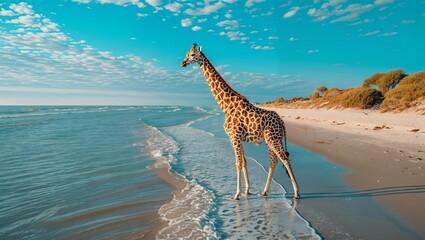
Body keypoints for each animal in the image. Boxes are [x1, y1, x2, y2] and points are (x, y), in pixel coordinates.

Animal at [181, 43, 300, 201]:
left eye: (192, 55)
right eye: (187, 53)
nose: (182, 63)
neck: (225, 106)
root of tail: (282, 122)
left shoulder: (234, 136)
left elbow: (237, 163)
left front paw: (236, 194)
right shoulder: (239, 138)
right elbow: (244, 162)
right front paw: (247, 190)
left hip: (273, 139)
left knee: (285, 159)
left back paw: (296, 192)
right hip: (271, 139)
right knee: (273, 161)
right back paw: (264, 191)